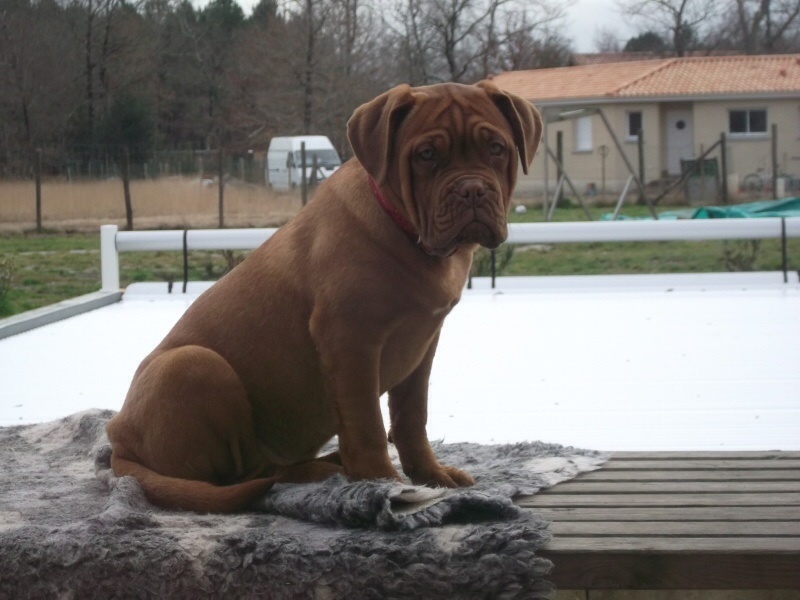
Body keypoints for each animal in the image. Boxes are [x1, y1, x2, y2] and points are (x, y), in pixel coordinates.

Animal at [106, 78, 544, 510]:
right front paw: (382, 483)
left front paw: (431, 475)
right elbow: (367, 422)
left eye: (496, 148)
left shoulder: (423, 343)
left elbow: (411, 418)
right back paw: (322, 470)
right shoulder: (350, 339)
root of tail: (120, 445)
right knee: (251, 475)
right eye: (426, 155)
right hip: (192, 364)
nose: (472, 190)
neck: (408, 234)